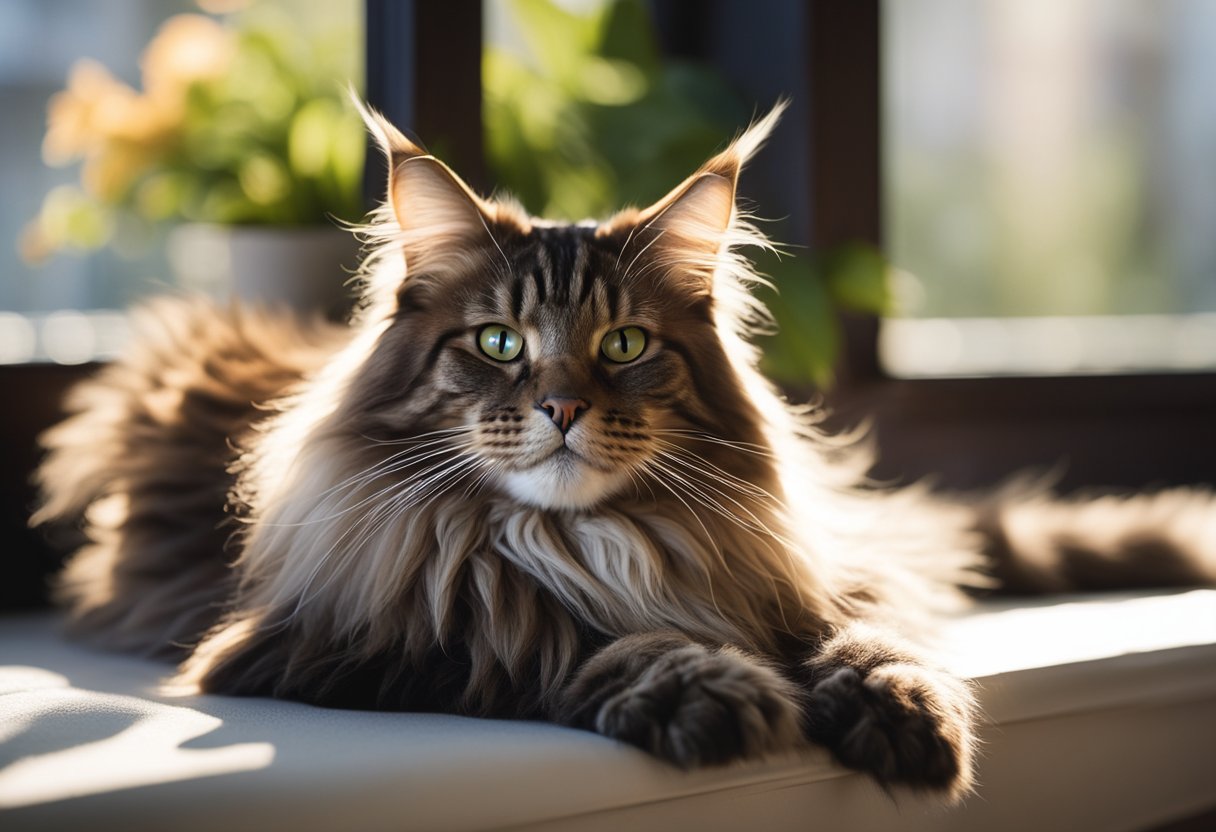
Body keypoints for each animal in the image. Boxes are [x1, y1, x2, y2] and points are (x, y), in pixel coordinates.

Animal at [30, 100, 1216, 802]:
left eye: (625, 345)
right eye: (499, 344)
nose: (561, 406)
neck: (588, 541)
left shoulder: (799, 581)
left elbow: (863, 632)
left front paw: (899, 705)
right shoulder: (324, 643)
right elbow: (547, 646)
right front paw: (704, 688)